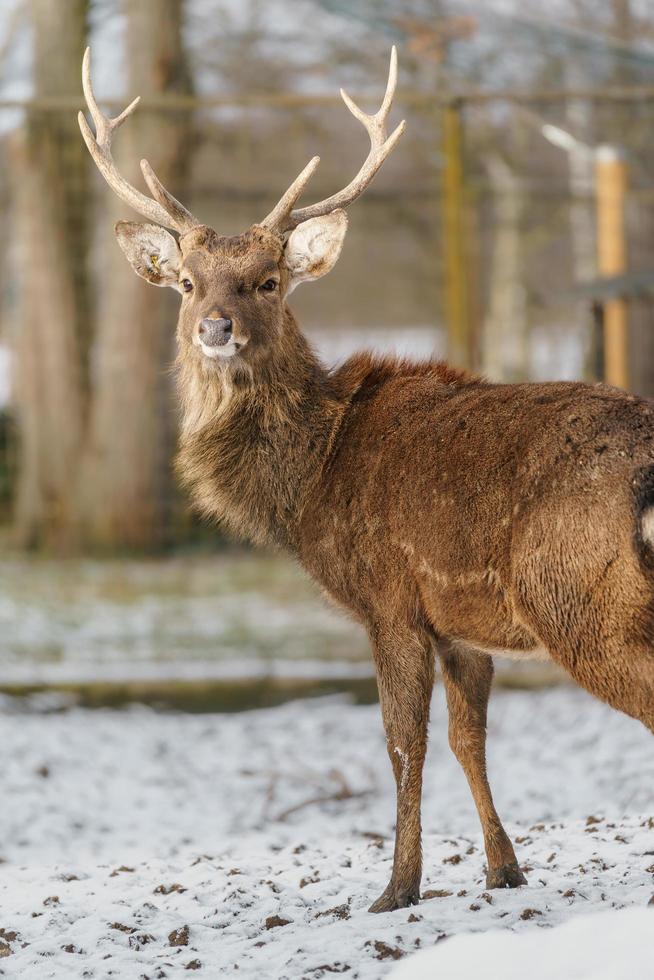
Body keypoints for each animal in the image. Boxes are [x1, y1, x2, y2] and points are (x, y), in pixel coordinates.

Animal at [80, 47, 654, 912]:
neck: (311, 477)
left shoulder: (389, 597)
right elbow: (466, 739)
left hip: (582, 598)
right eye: (186, 282)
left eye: (269, 280)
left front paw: (396, 887)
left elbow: (400, 742)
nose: (215, 325)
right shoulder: (459, 621)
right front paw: (503, 868)